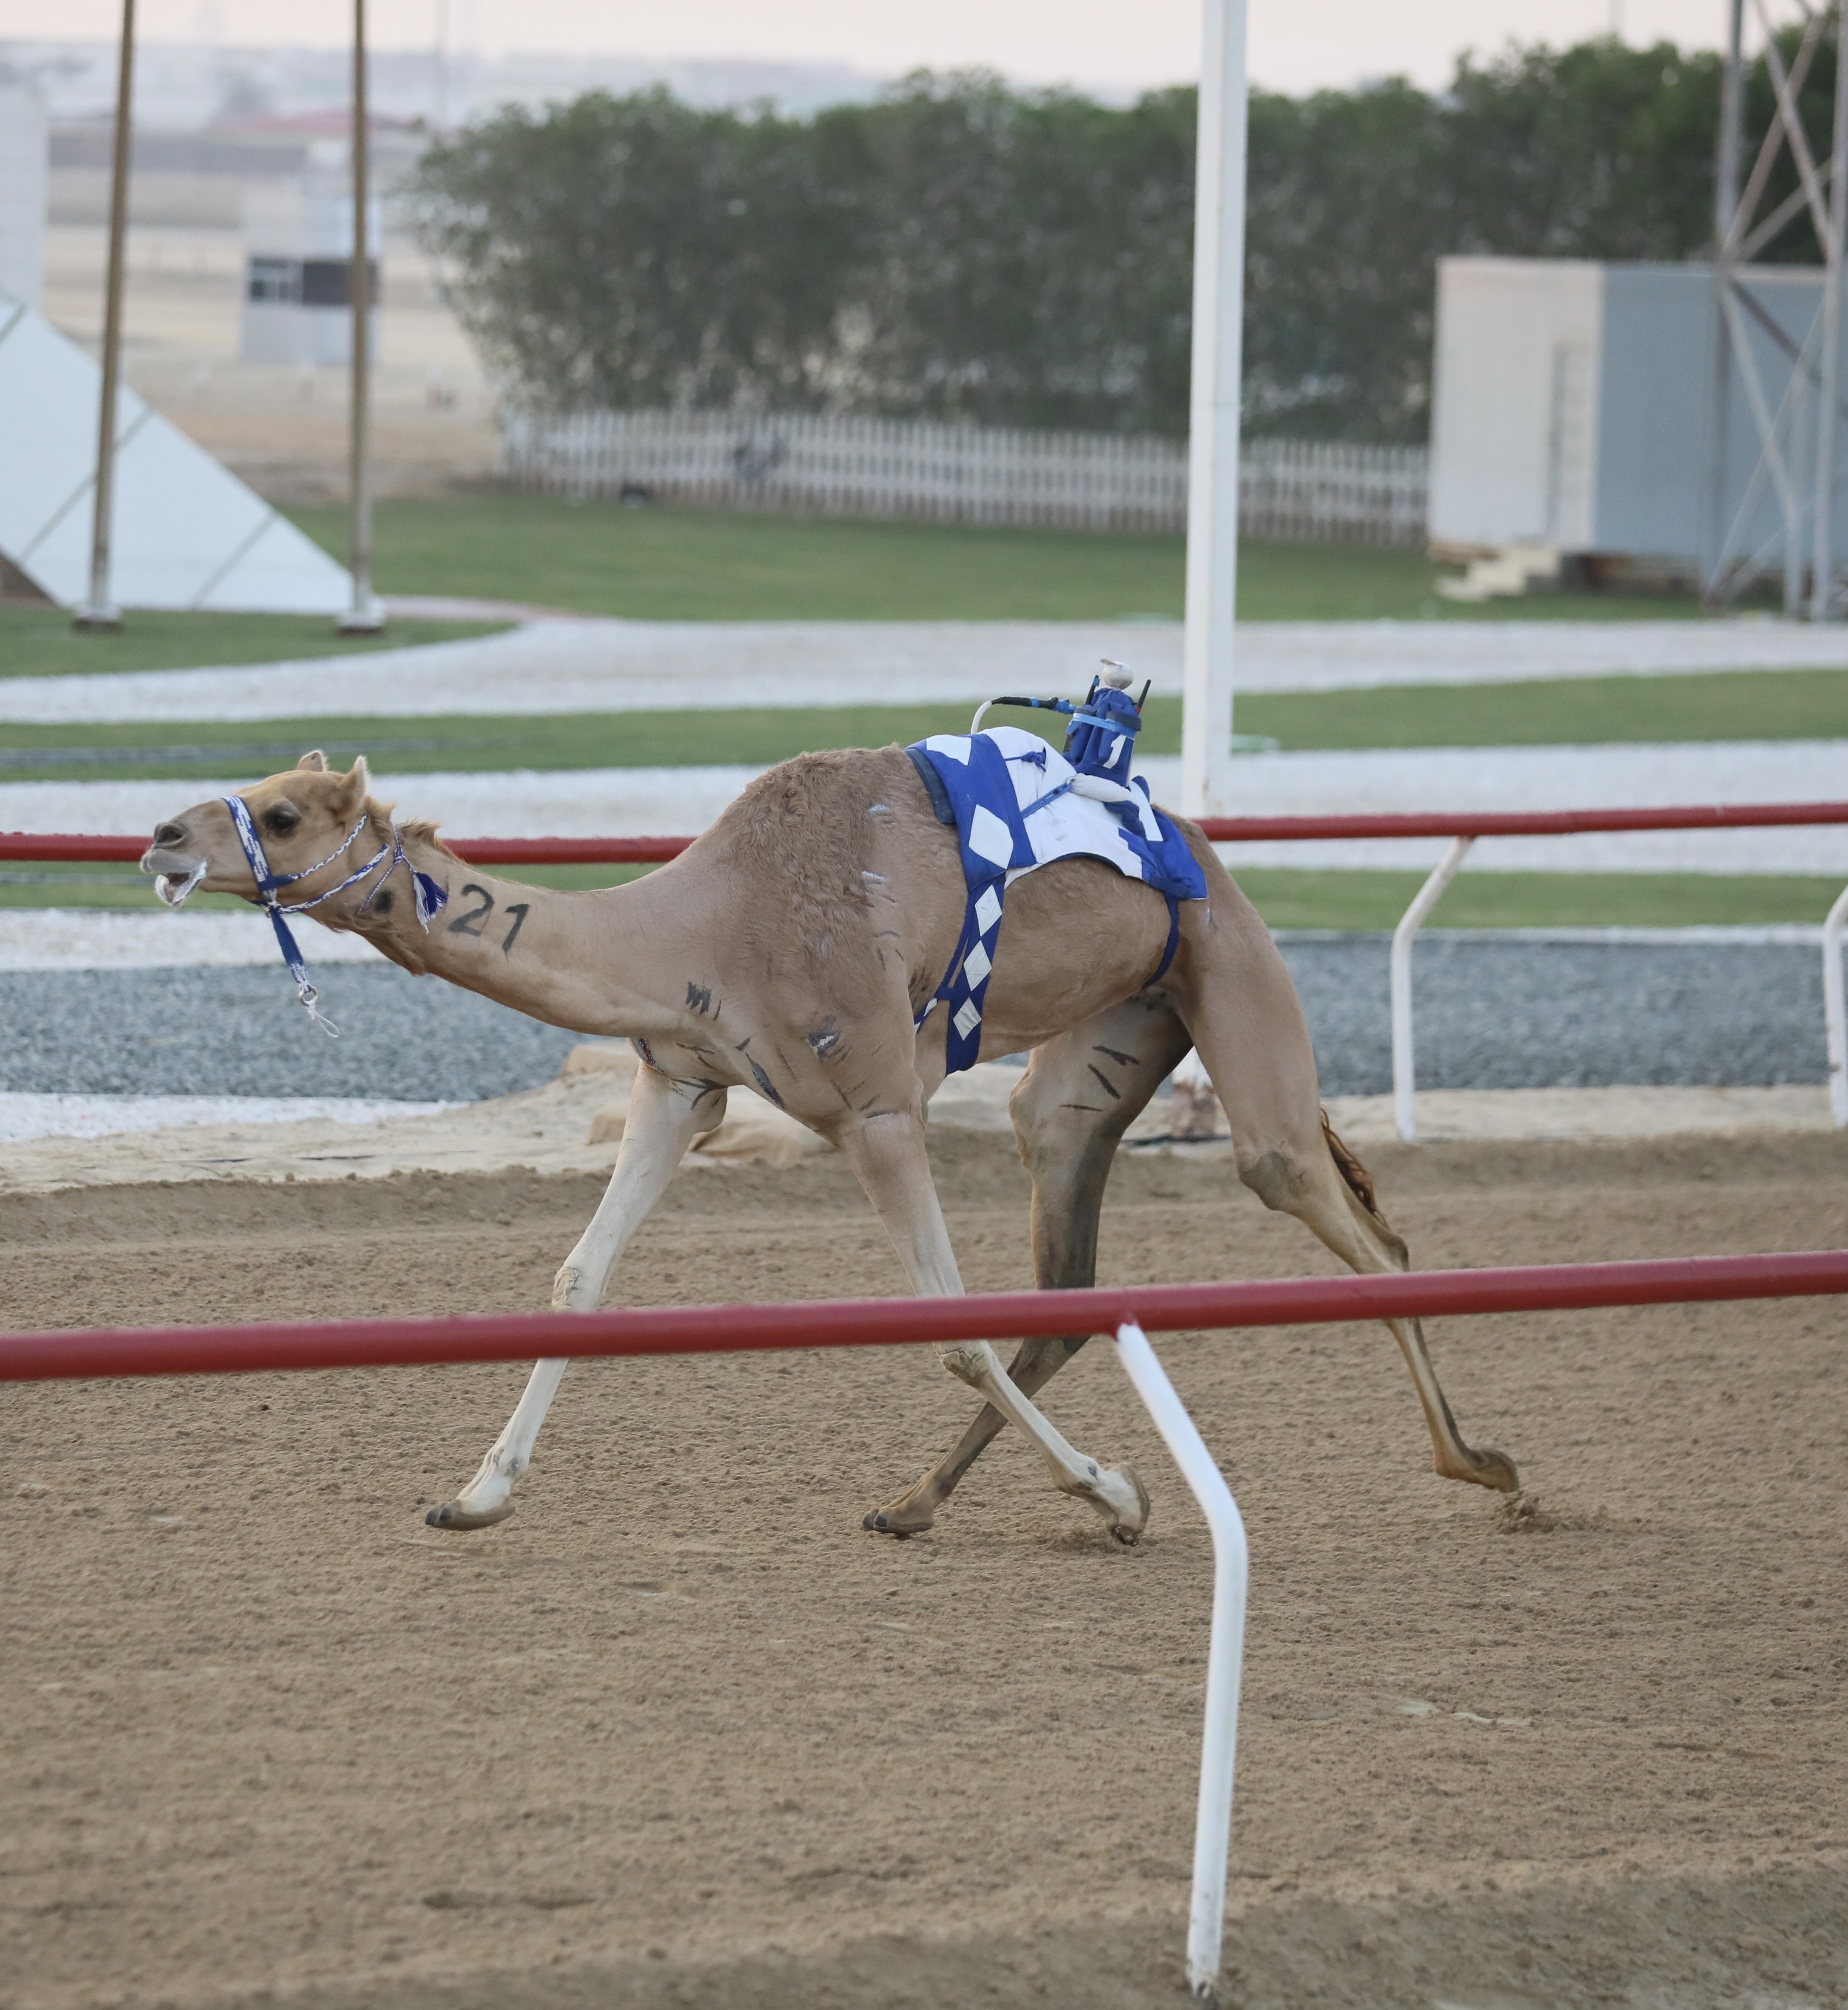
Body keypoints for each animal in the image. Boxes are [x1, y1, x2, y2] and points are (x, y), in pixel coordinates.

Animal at [144, 743, 1518, 1535]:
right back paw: (914, 1503)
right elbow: (579, 1278)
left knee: (1336, 1213)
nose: (160, 834)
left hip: (1234, 978)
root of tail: (1195, 846)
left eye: (279, 813)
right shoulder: (681, 1082)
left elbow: (950, 1327)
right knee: (1067, 1265)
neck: (705, 921)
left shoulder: (874, 1104)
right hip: (1104, 1050)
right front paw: (476, 1494)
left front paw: (1121, 1491)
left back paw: (1487, 1467)